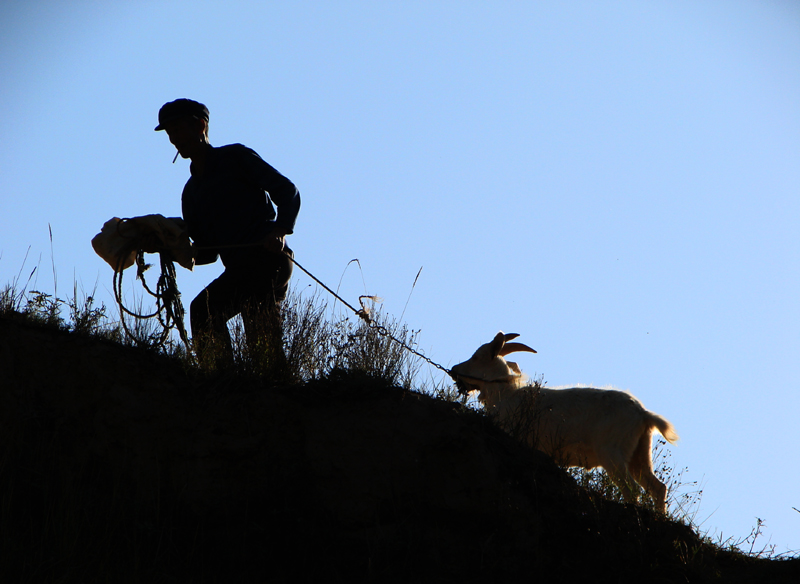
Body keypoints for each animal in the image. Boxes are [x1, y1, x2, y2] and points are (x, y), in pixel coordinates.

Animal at [454, 334, 680, 512]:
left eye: (476, 357)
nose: (455, 369)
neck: (504, 395)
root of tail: (643, 414)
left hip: (612, 453)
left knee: (632, 489)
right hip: (639, 455)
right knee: (657, 488)